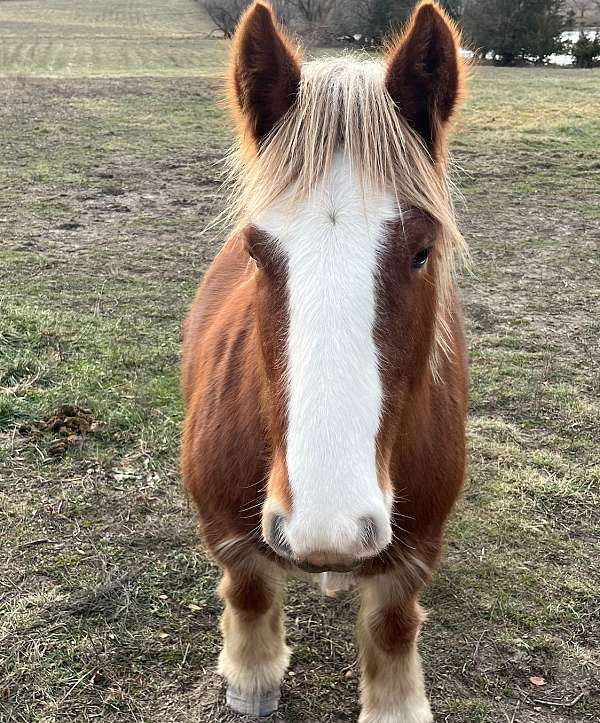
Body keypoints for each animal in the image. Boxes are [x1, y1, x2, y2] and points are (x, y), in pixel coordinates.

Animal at [183, 2, 468, 720]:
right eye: (255, 250)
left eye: (421, 252)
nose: (327, 527)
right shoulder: (228, 530)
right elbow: (250, 591)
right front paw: (253, 677)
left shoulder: (416, 549)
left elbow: (393, 624)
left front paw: (396, 703)